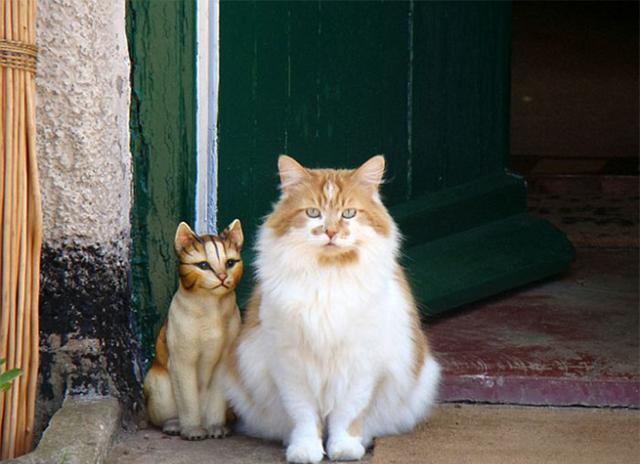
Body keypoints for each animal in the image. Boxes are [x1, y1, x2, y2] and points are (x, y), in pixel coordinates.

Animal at [144, 219, 244, 440]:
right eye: (204, 265)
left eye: (230, 263)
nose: (222, 276)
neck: (212, 308)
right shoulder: (182, 360)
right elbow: (188, 399)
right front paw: (192, 430)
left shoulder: (224, 361)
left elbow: (216, 399)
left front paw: (216, 427)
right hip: (158, 383)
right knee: (164, 416)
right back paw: (174, 426)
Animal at [225, 157, 440, 464]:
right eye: (313, 213)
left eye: (348, 214)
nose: (330, 232)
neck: (328, 274)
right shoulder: (291, 364)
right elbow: (304, 416)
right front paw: (305, 450)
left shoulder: (360, 364)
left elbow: (347, 414)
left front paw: (345, 447)